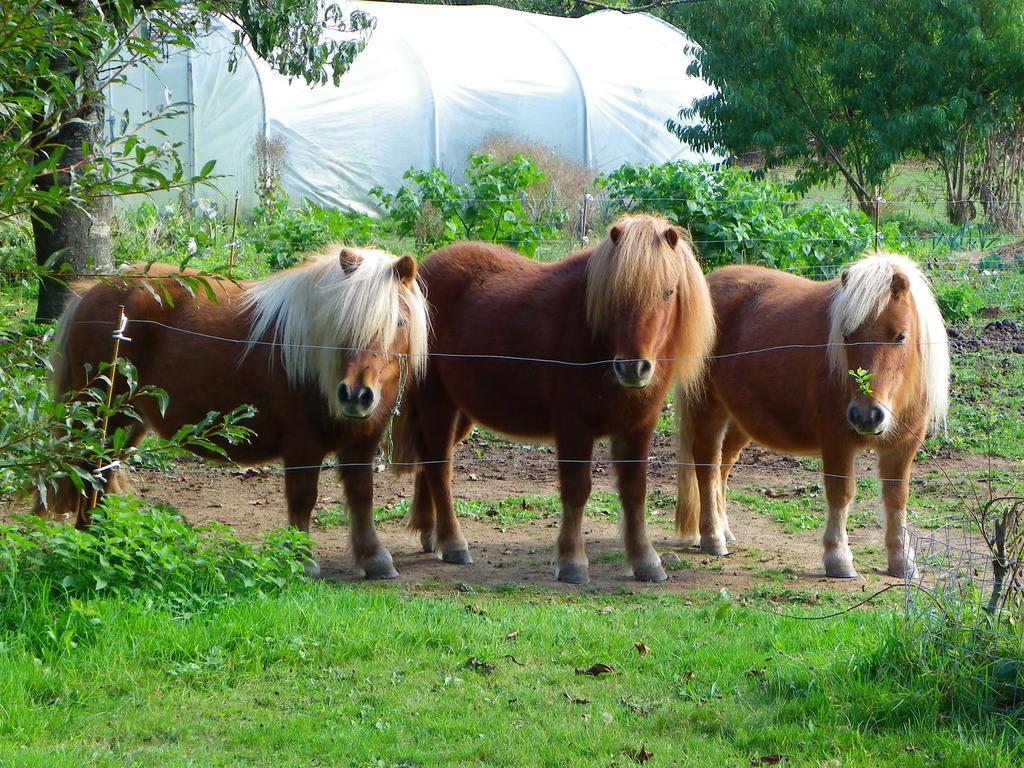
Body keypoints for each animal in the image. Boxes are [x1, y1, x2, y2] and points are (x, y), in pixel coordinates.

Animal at [37, 249, 430, 581]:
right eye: (341, 323)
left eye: (399, 322)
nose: (355, 395)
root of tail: (89, 293)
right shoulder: (302, 443)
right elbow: (303, 498)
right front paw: (300, 560)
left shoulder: (362, 441)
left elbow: (362, 496)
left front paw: (374, 559)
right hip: (103, 418)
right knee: (91, 474)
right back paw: (93, 543)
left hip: (126, 423)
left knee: (101, 475)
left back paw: (104, 539)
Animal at [391, 214, 712, 585]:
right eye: (615, 295)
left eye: (668, 292)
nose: (633, 368)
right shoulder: (573, 426)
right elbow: (576, 489)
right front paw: (572, 562)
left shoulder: (638, 427)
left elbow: (635, 491)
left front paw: (646, 561)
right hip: (437, 404)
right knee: (439, 467)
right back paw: (453, 543)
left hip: (462, 412)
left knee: (428, 462)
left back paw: (430, 534)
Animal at [675, 250, 946, 577]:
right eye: (846, 335)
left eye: (901, 336)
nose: (866, 416)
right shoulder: (837, 441)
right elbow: (841, 493)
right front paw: (838, 558)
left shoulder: (903, 446)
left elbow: (897, 498)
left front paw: (902, 560)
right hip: (708, 409)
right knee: (706, 465)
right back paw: (713, 537)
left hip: (739, 420)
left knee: (722, 467)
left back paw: (724, 530)